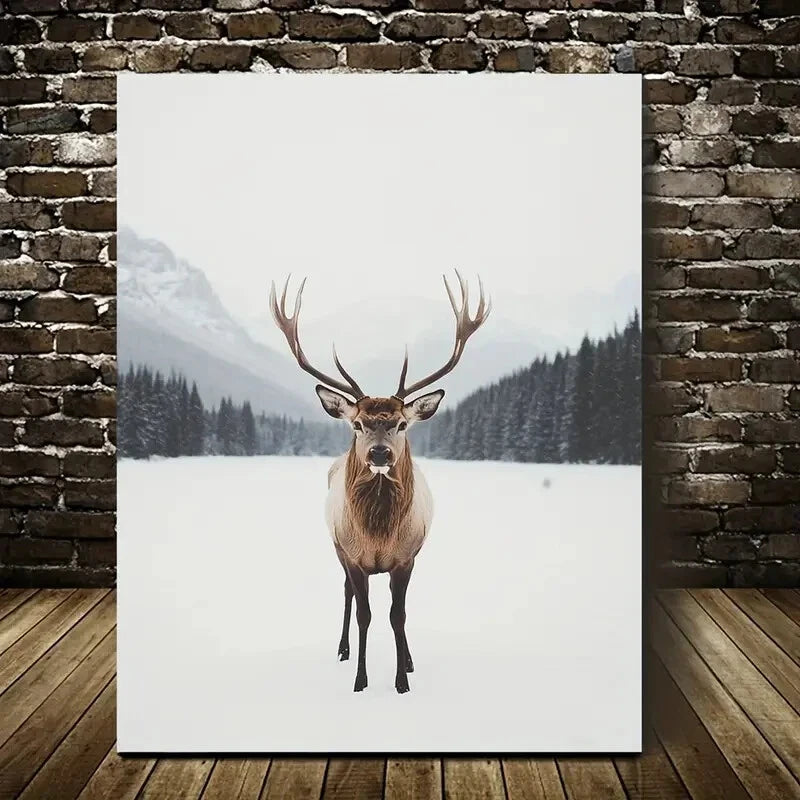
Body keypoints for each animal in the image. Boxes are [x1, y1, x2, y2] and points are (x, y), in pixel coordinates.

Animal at [269, 271, 490, 694]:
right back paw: (342, 649)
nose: (379, 454)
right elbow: (365, 615)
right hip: (336, 547)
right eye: (357, 424)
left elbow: (396, 616)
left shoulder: (405, 558)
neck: (378, 534)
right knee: (346, 596)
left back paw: (409, 659)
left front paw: (402, 678)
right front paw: (360, 679)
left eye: (401, 424)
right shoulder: (354, 557)